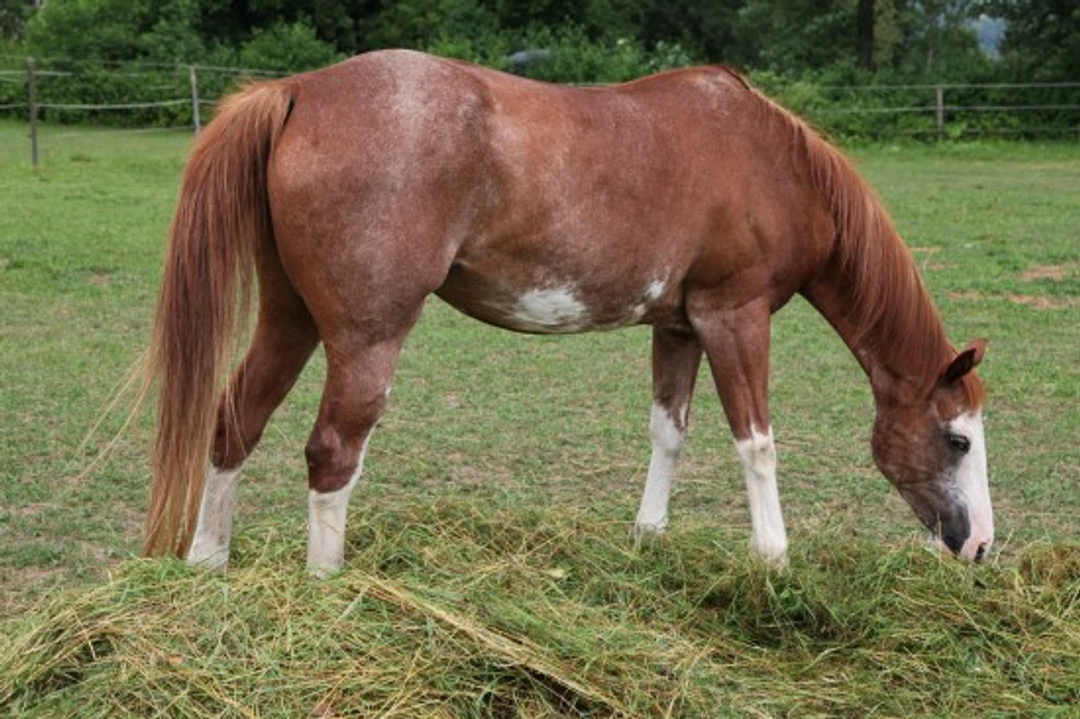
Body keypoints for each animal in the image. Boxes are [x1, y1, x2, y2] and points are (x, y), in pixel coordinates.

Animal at [142, 50, 993, 576]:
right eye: (956, 438)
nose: (980, 544)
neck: (768, 159)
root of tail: (302, 89)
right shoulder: (735, 316)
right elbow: (757, 445)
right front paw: (775, 561)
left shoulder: (679, 326)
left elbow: (669, 432)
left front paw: (647, 538)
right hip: (364, 338)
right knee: (332, 452)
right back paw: (329, 587)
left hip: (290, 320)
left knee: (234, 420)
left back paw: (209, 562)